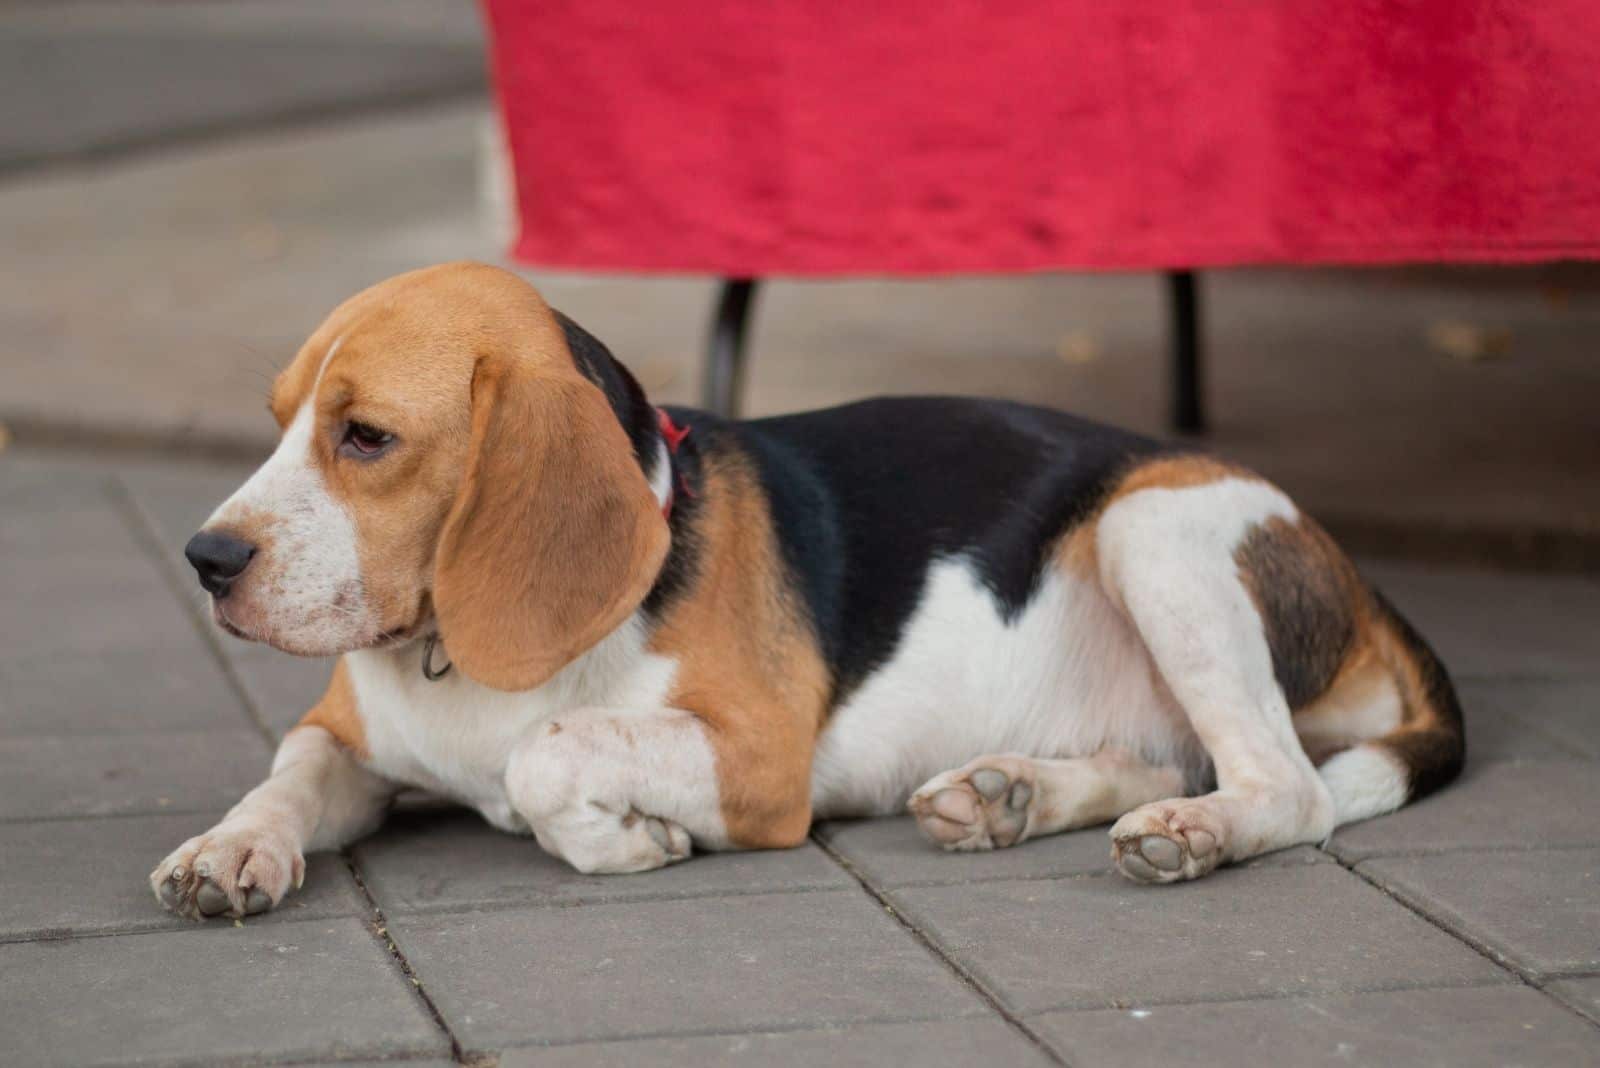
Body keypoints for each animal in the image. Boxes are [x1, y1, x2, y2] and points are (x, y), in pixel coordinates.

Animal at [150, 260, 1465, 920]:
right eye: (278, 420)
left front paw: (627, 841)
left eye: (365, 437)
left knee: (1285, 788)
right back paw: (1010, 795)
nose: (206, 561)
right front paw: (229, 848)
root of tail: (1351, 572)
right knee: (1169, 760)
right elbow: (289, 771)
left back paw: (1190, 836)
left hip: (1152, 531)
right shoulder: (346, 738)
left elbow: (548, 754)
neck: (452, 663)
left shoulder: (758, 761)